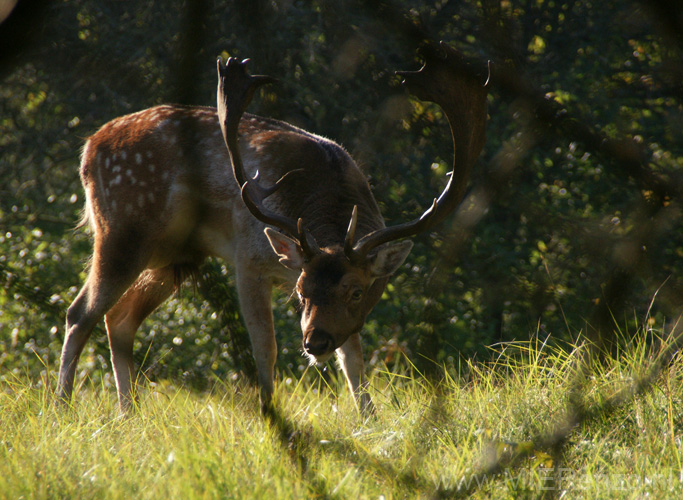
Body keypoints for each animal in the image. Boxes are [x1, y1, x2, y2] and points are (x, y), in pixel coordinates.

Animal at [56, 42, 488, 410]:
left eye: (356, 291)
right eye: (300, 290)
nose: (315, 342)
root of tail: (88, 146)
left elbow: (354, 359)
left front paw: (370, 420)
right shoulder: (248, 259)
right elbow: (267, 348)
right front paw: (269, 414)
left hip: (174, 254)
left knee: (120, 319)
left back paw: (128, 413)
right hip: (123, 228)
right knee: (80, 313)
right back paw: (63, 407)